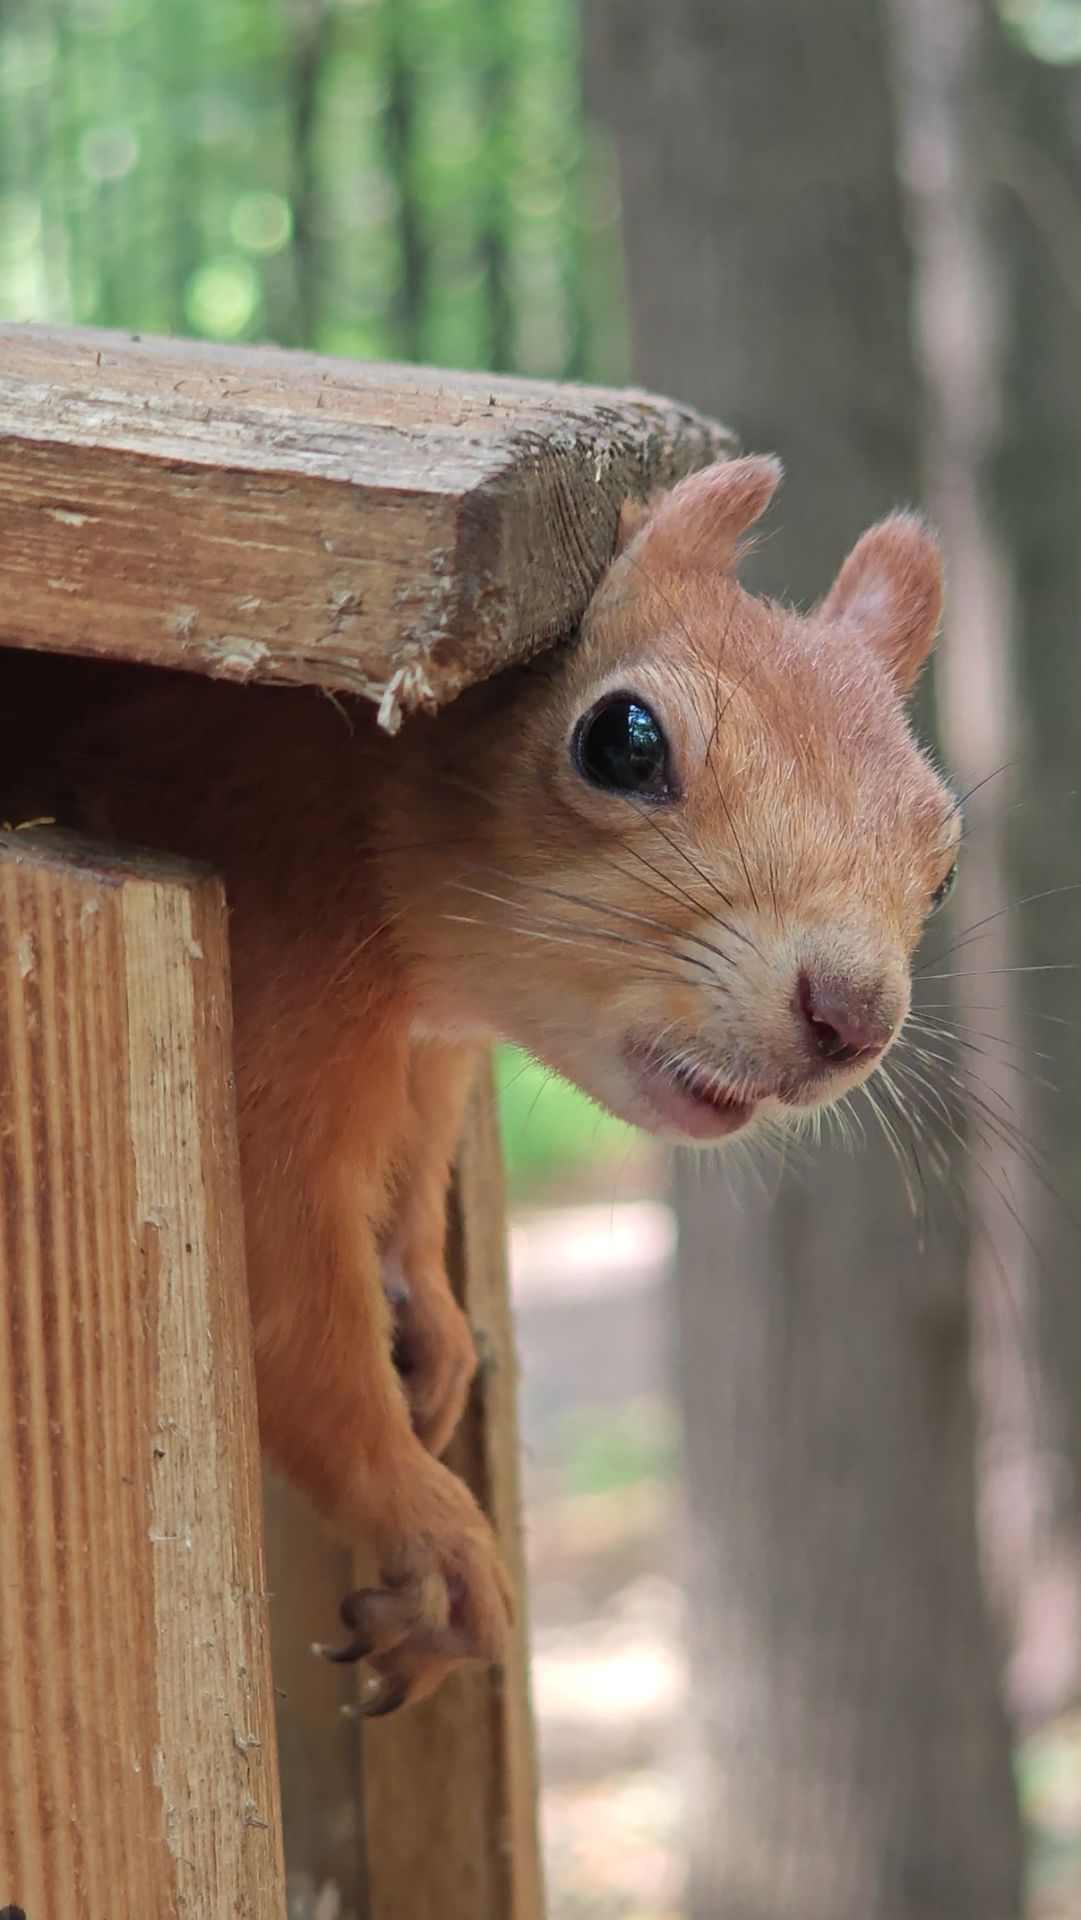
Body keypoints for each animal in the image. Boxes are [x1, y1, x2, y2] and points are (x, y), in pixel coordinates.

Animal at [0, 455, 960, 1713]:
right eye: (624, 741)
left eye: (944, 867)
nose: (851, 1018)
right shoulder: (274, 966)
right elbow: (280, 1291)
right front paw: (430, 1531)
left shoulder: (429, 1053)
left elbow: (414, 1169)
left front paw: (435, 1318)